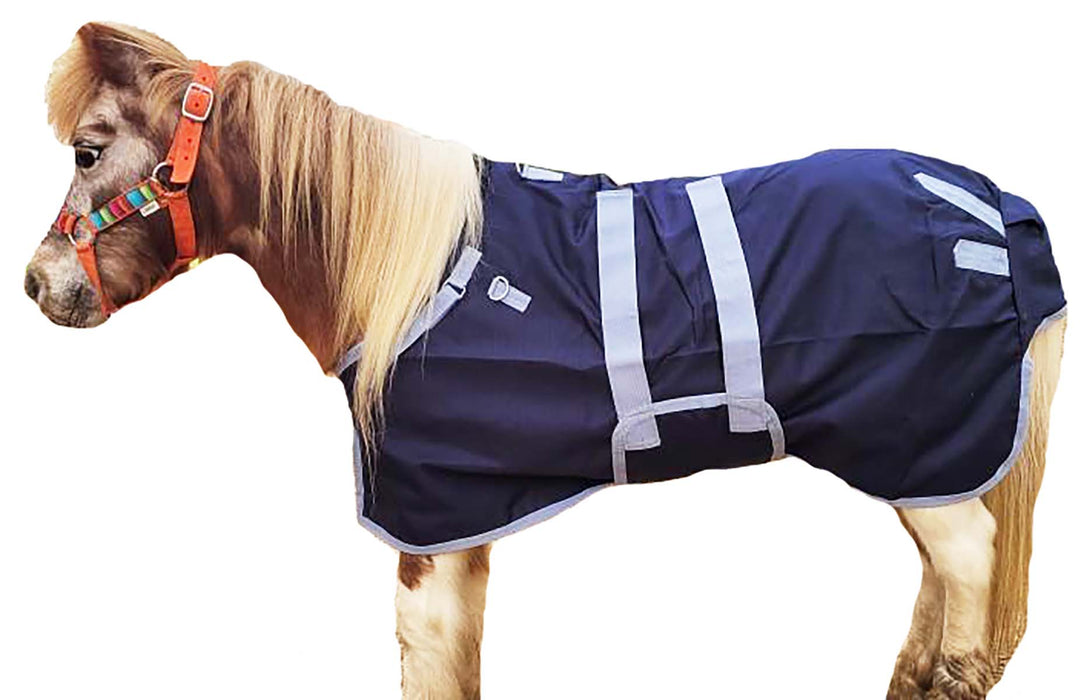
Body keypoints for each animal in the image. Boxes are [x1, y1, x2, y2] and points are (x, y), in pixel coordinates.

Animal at [24, 23, 1066, 700]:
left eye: (88, 151)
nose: (39, 285)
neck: (411, 270)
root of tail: (991, 206)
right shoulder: (461, 527)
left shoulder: (431, 527)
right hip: (918, 465)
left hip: (922, 453)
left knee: (967, 594)